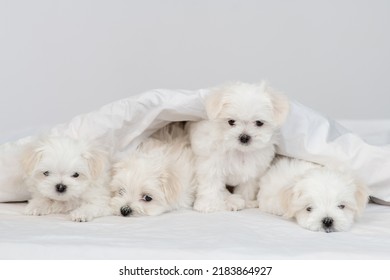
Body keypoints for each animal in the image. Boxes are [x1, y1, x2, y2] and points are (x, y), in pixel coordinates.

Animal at [187, 81, 290, 212]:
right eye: (231, 122)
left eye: (259, 123)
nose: (244, 137)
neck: (240, 151)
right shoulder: (211, 165)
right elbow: (211, 184)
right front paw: (208, 204)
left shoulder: (254, 170)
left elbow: (247, 186)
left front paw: (247, 201)